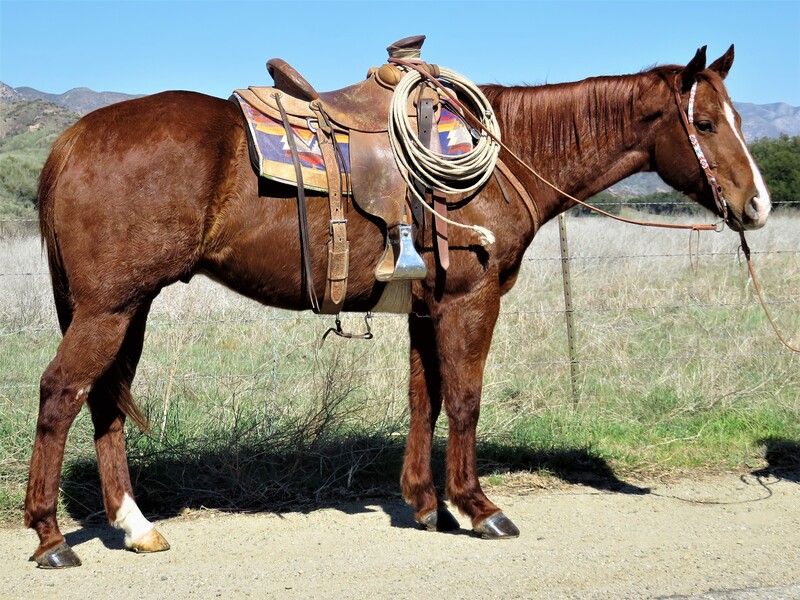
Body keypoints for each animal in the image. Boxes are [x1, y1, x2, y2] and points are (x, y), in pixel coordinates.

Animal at [29, 44, 768, 564]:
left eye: (736, 117)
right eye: (705, 122)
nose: (757, 205)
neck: (506, 154)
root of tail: (71, 140)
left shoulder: (425, 306)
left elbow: (424, 399)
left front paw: (424, 503)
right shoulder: (471, 301)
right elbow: (464, 400)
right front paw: (478, 507)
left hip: (128, 308)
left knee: (103, 401)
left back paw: (135, 525)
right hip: (109, 308)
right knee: (61, 393)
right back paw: (51, 537)